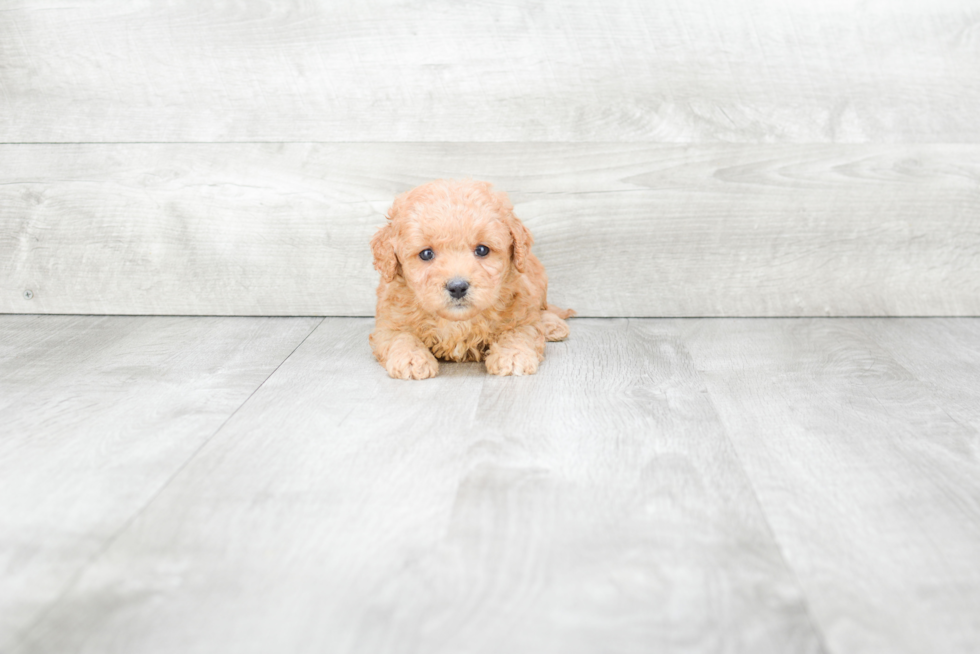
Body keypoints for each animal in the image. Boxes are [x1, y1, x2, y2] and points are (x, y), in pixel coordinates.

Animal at [374, 181, 576, 384]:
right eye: (426, 254)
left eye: (482, 250)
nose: (457, 287)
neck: (458, 321)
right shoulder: (388, 323)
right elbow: (401, 336)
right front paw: (411, 359)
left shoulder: (521, 312)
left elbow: (519, 331)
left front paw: (512, 356)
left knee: (541, 310)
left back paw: (553, 325)